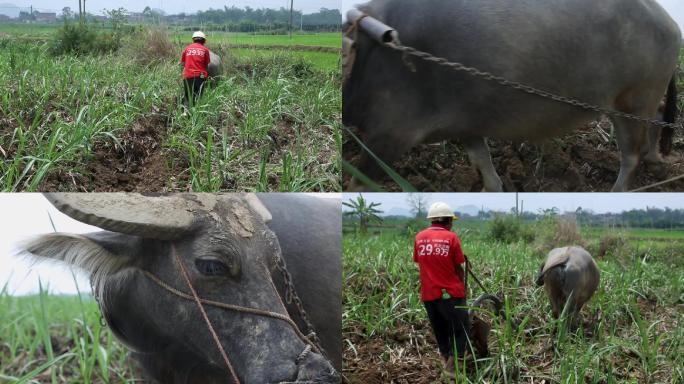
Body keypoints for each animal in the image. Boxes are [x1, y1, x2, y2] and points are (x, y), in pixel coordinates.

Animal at [344, 0, 680, 192]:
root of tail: (671, 23)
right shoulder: (467, 125)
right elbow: (484, 165)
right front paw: (491, 188)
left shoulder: (391, 133)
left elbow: (360, 180)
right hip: (639, 101)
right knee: (657, 118)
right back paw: (655, 160)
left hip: (632, 101)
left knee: (631, 155)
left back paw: (620, 188)